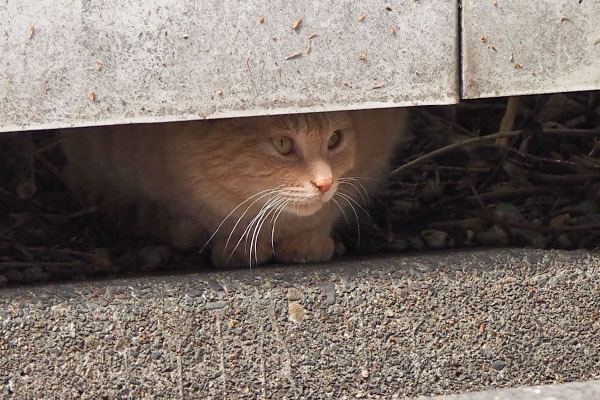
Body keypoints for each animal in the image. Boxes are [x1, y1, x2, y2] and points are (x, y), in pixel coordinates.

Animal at [61, 108, 408, 268]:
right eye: (283, 144)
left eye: (335, 139)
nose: (324, 182)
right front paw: (236, 245)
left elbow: (328, 212)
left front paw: (308, 242)